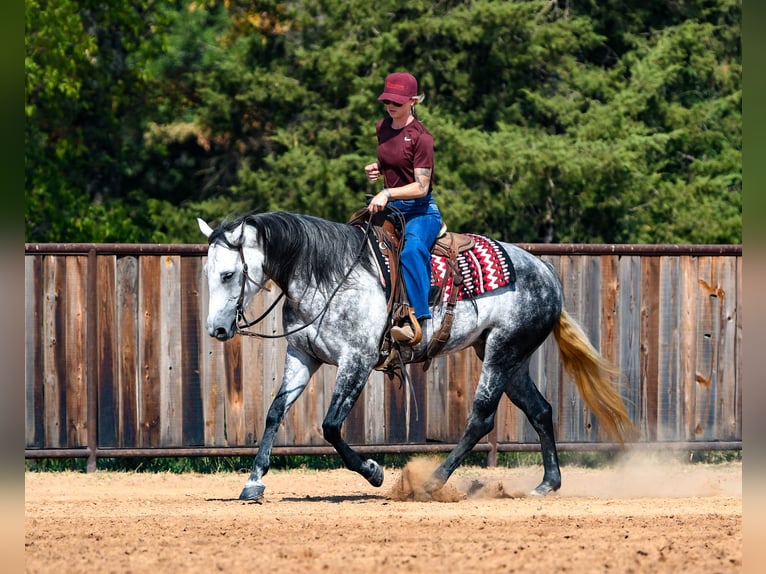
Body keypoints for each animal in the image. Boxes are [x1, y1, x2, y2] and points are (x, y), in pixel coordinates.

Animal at [197, 211, 635, 501]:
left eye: (228, 274)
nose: (216, 330)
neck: (330, 276)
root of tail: (546, 273)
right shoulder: (302, 356)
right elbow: (275, 413)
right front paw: (253, 482)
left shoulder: (356, 360)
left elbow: (331, 426)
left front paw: (374, 472)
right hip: (510, 356)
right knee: (541, 410)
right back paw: (547, 483)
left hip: (502, 352)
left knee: (481, 418)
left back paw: (432, 481)